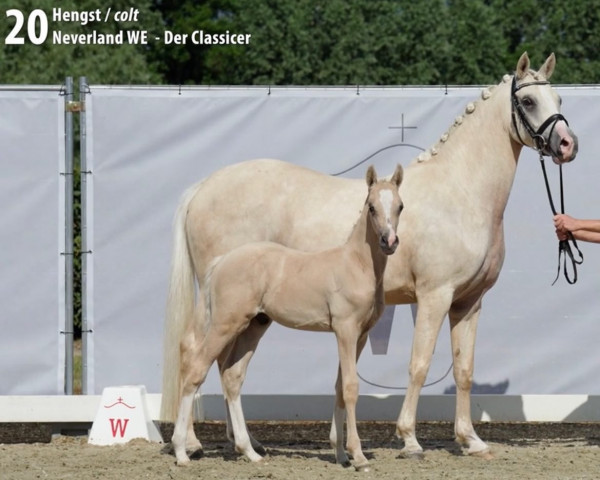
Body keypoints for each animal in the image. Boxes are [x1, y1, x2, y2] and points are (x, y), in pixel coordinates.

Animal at [172, 164, 404, 468]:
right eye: (371, 206)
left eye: (400, 206)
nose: (389, 241)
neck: (355, 264)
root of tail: (221, 261)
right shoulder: (345, 330)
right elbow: (351, 387)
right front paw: (358, 456)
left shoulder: (361, 335)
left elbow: (339, 386)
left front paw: (341, 454)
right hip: (224, 324)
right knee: (196, 369)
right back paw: (182, 451)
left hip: (253, 325)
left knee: (232, 376)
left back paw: (250, 451)